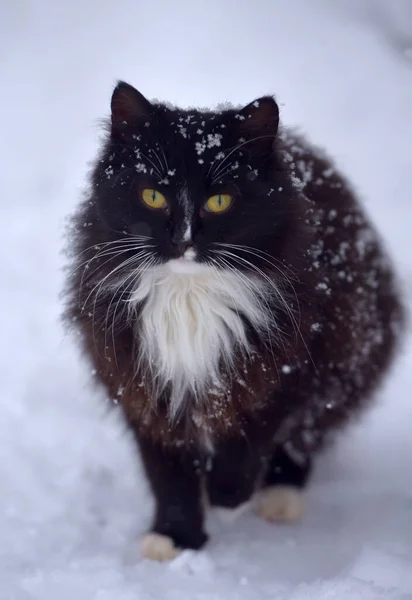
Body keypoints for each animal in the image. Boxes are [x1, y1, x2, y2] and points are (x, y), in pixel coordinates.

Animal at [62, 82, 404, 560]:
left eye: (219, 201)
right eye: (153, 196)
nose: (183, 239)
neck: (188, 296)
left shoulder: (291, 367)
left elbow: (253, 439)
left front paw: (226, 496)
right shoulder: (139, 380)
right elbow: (167, 472)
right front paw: (174, 537)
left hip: (348, 357)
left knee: (304, 438)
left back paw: (278, 497)